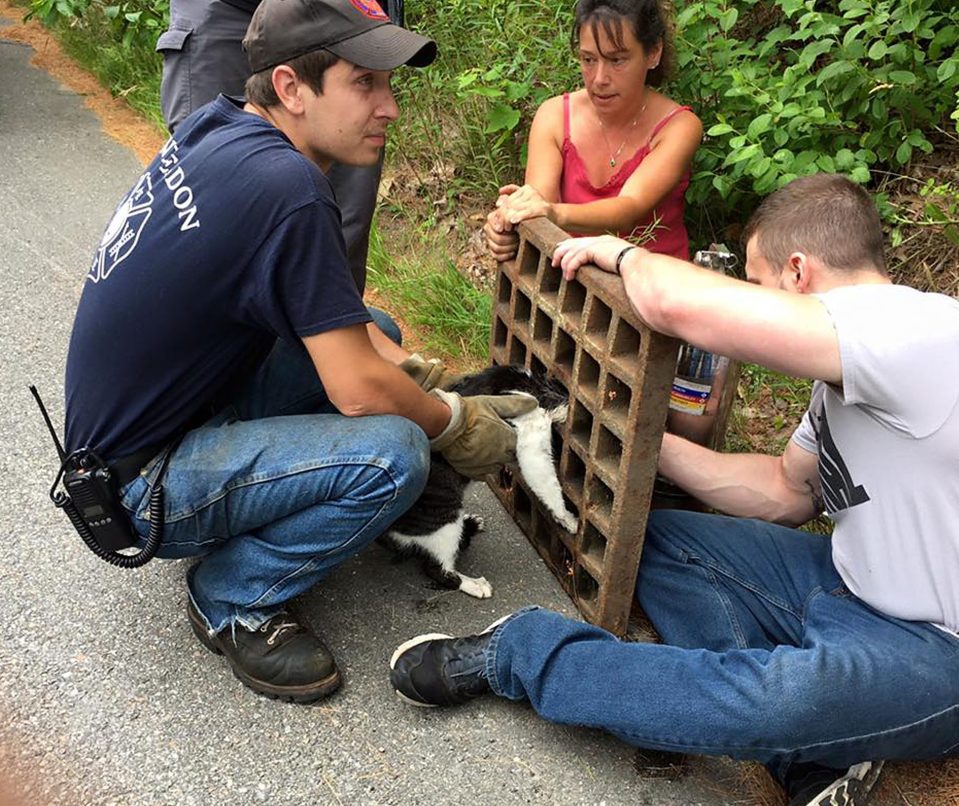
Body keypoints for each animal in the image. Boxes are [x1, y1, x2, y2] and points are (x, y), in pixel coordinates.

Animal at [380, 366, 576, 600]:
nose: (568, 403)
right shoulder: (531, 441)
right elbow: (547, 484)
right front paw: (568, 519)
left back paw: (471, 523)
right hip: (444, 522)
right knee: (437, 569)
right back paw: (473, 584)